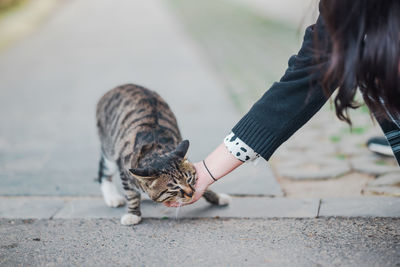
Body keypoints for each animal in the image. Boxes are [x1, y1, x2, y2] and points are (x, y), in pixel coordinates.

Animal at [95, 84, 230, 226]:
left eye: (189, 179)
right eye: (174, 187)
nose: (191, 193)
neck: (156, 151)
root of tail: (119, 86)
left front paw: (217, 197)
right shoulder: (125, 169)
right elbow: (132, 195)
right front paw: (133, 214)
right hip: (110, 149)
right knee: (104, 172)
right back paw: (112, 197)